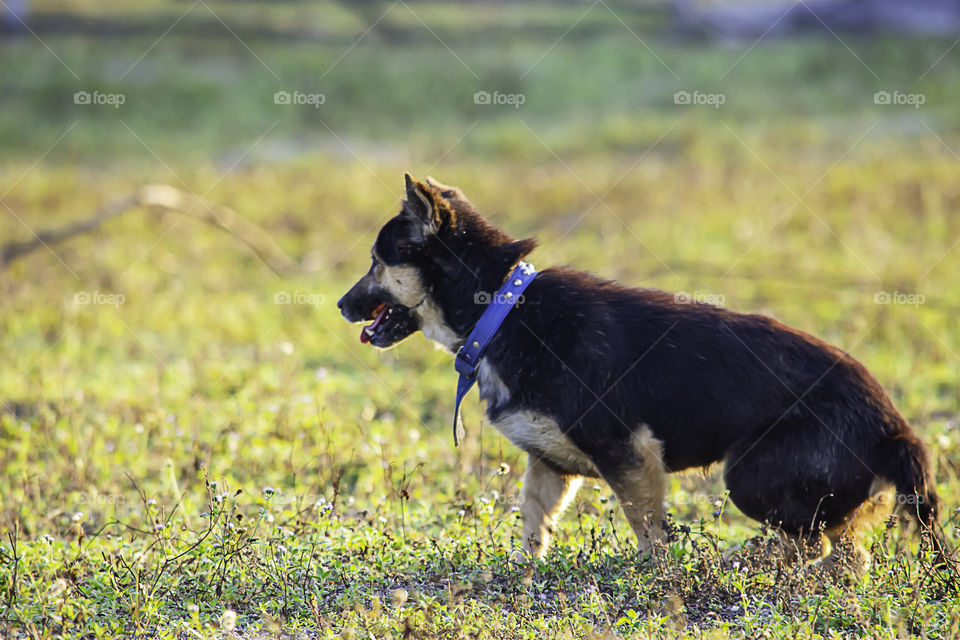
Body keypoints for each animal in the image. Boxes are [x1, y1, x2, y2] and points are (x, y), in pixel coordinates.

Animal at [338, 172, 936, 564]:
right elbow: (533, 526)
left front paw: (659, 585)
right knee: (844, 550)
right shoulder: (548, 466)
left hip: (749, 476)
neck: (502, 308)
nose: (341, 306)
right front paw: (522, 579)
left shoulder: (631, 456)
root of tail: (894, 426)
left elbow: (647, 534)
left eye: (376, 262)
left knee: (823, 548)